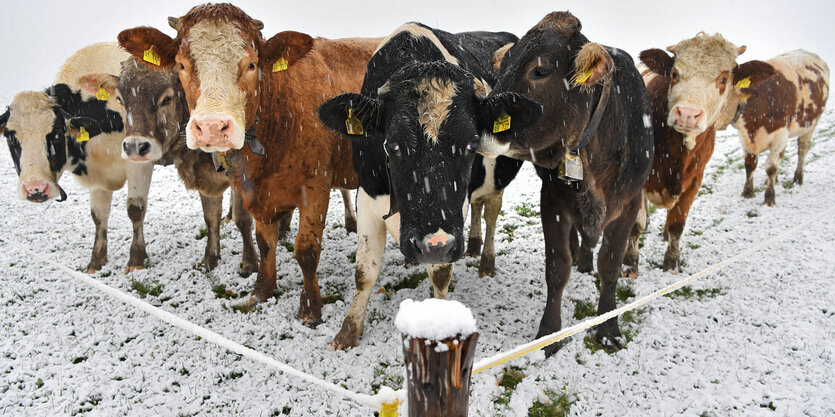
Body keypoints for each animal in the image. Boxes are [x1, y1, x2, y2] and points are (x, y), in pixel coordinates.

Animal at [0, 42, 157, 272]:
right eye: (10, 137)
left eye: (56, 133)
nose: (35, 188)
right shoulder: (97, 178)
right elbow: (98, 216)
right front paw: (96, 261)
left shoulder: (139, 163)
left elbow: (135, 208)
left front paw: (136, 260)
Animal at [117, 3, 378, 324]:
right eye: (181, 65)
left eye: (252, 64)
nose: (212, 127)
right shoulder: (252, 188)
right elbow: (264, 241)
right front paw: (260, 292)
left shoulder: (316, 185)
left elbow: (306, 249)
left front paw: (309, 309)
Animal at [316, 22, 540, 348]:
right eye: (392, 144)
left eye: (472, 143)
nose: (432, 245)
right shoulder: (367, 197)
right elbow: (365, 271)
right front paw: (349, 330)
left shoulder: (451, 219)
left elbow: (440, 274)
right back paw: (472, 246)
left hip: (499, 176)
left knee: (491, 211)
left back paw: (485, 260)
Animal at [476, 12, 652, 352]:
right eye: (502, 70)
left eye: (540, 70)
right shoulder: (552, 200)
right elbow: (557, 267)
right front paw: (549, 333)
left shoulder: (628, 203)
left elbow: (610, 265)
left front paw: (608, 326)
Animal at [632, 32, 780, 272]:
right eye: (674, 73)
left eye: (723, 79)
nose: (687, 114)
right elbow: (635, 224)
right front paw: (629, 264)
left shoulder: (695, 180)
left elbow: (677, 224)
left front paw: (671, 262)